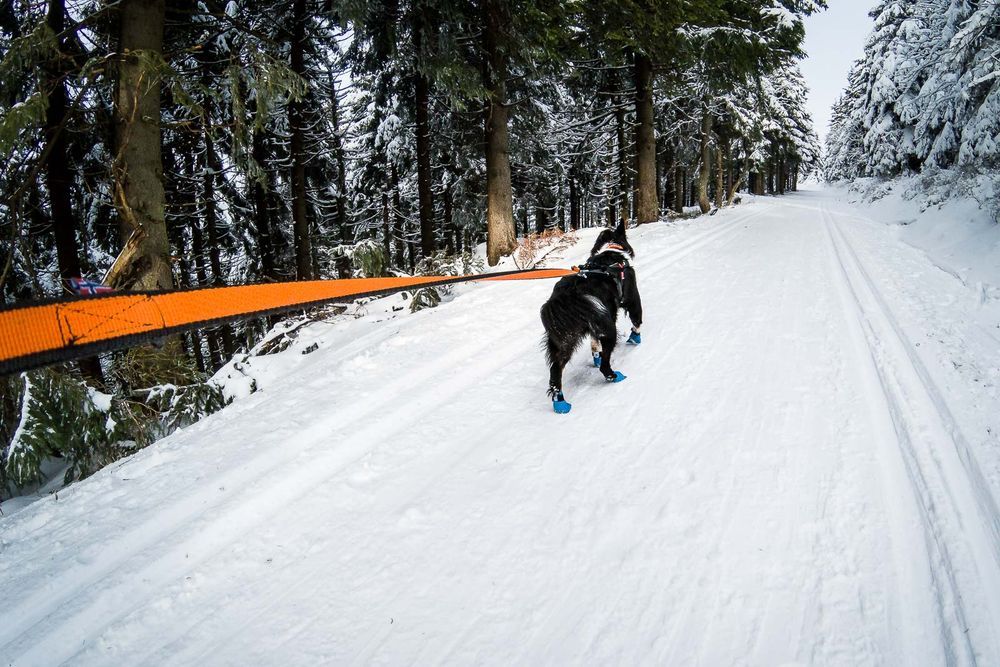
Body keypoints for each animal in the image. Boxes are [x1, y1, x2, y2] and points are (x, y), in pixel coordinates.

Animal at [540, 222, 640, 414]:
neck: (611, 250)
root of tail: (568, 295)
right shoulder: (632, 298)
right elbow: (637, 319)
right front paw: (635, 338)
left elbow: (594, 344)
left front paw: (596, 355)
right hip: (608, 329)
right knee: (604, 365)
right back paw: (614, 375)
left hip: (565, 339)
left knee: (555, 370)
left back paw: (560, 402)